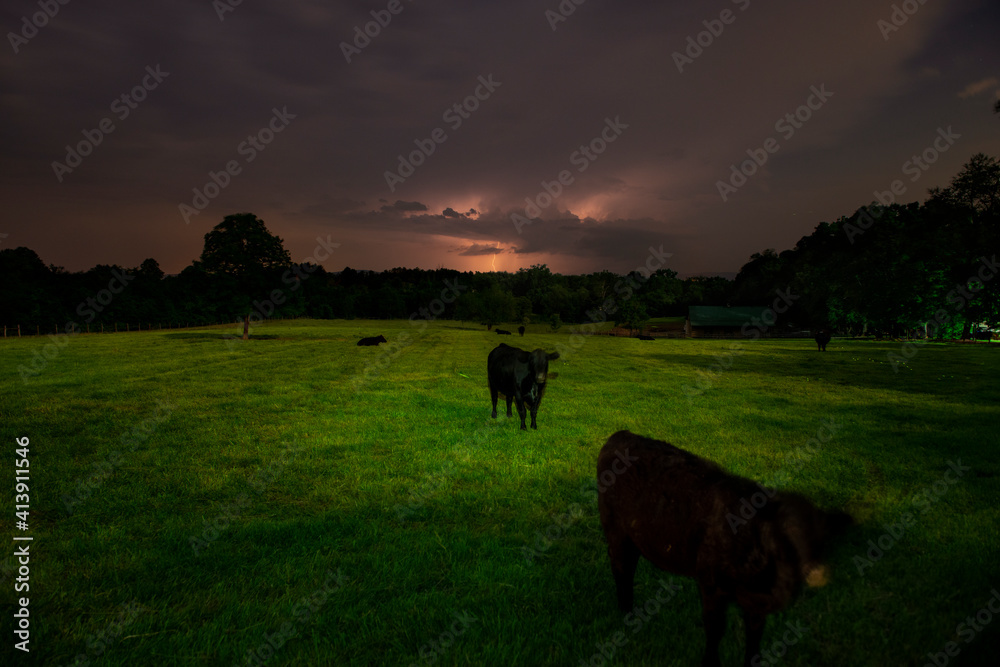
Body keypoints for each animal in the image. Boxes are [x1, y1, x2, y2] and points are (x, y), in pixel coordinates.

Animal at [597, 430, 852, 667]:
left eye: (821, 544)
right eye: (781, 538)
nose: (816, 575)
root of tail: (622, 434)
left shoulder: (755, 602)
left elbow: (755, 634)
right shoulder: (711, 583)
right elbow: (715, 627)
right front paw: (710, 662)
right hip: (615, 530)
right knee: (620, 568)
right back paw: (626, 613)